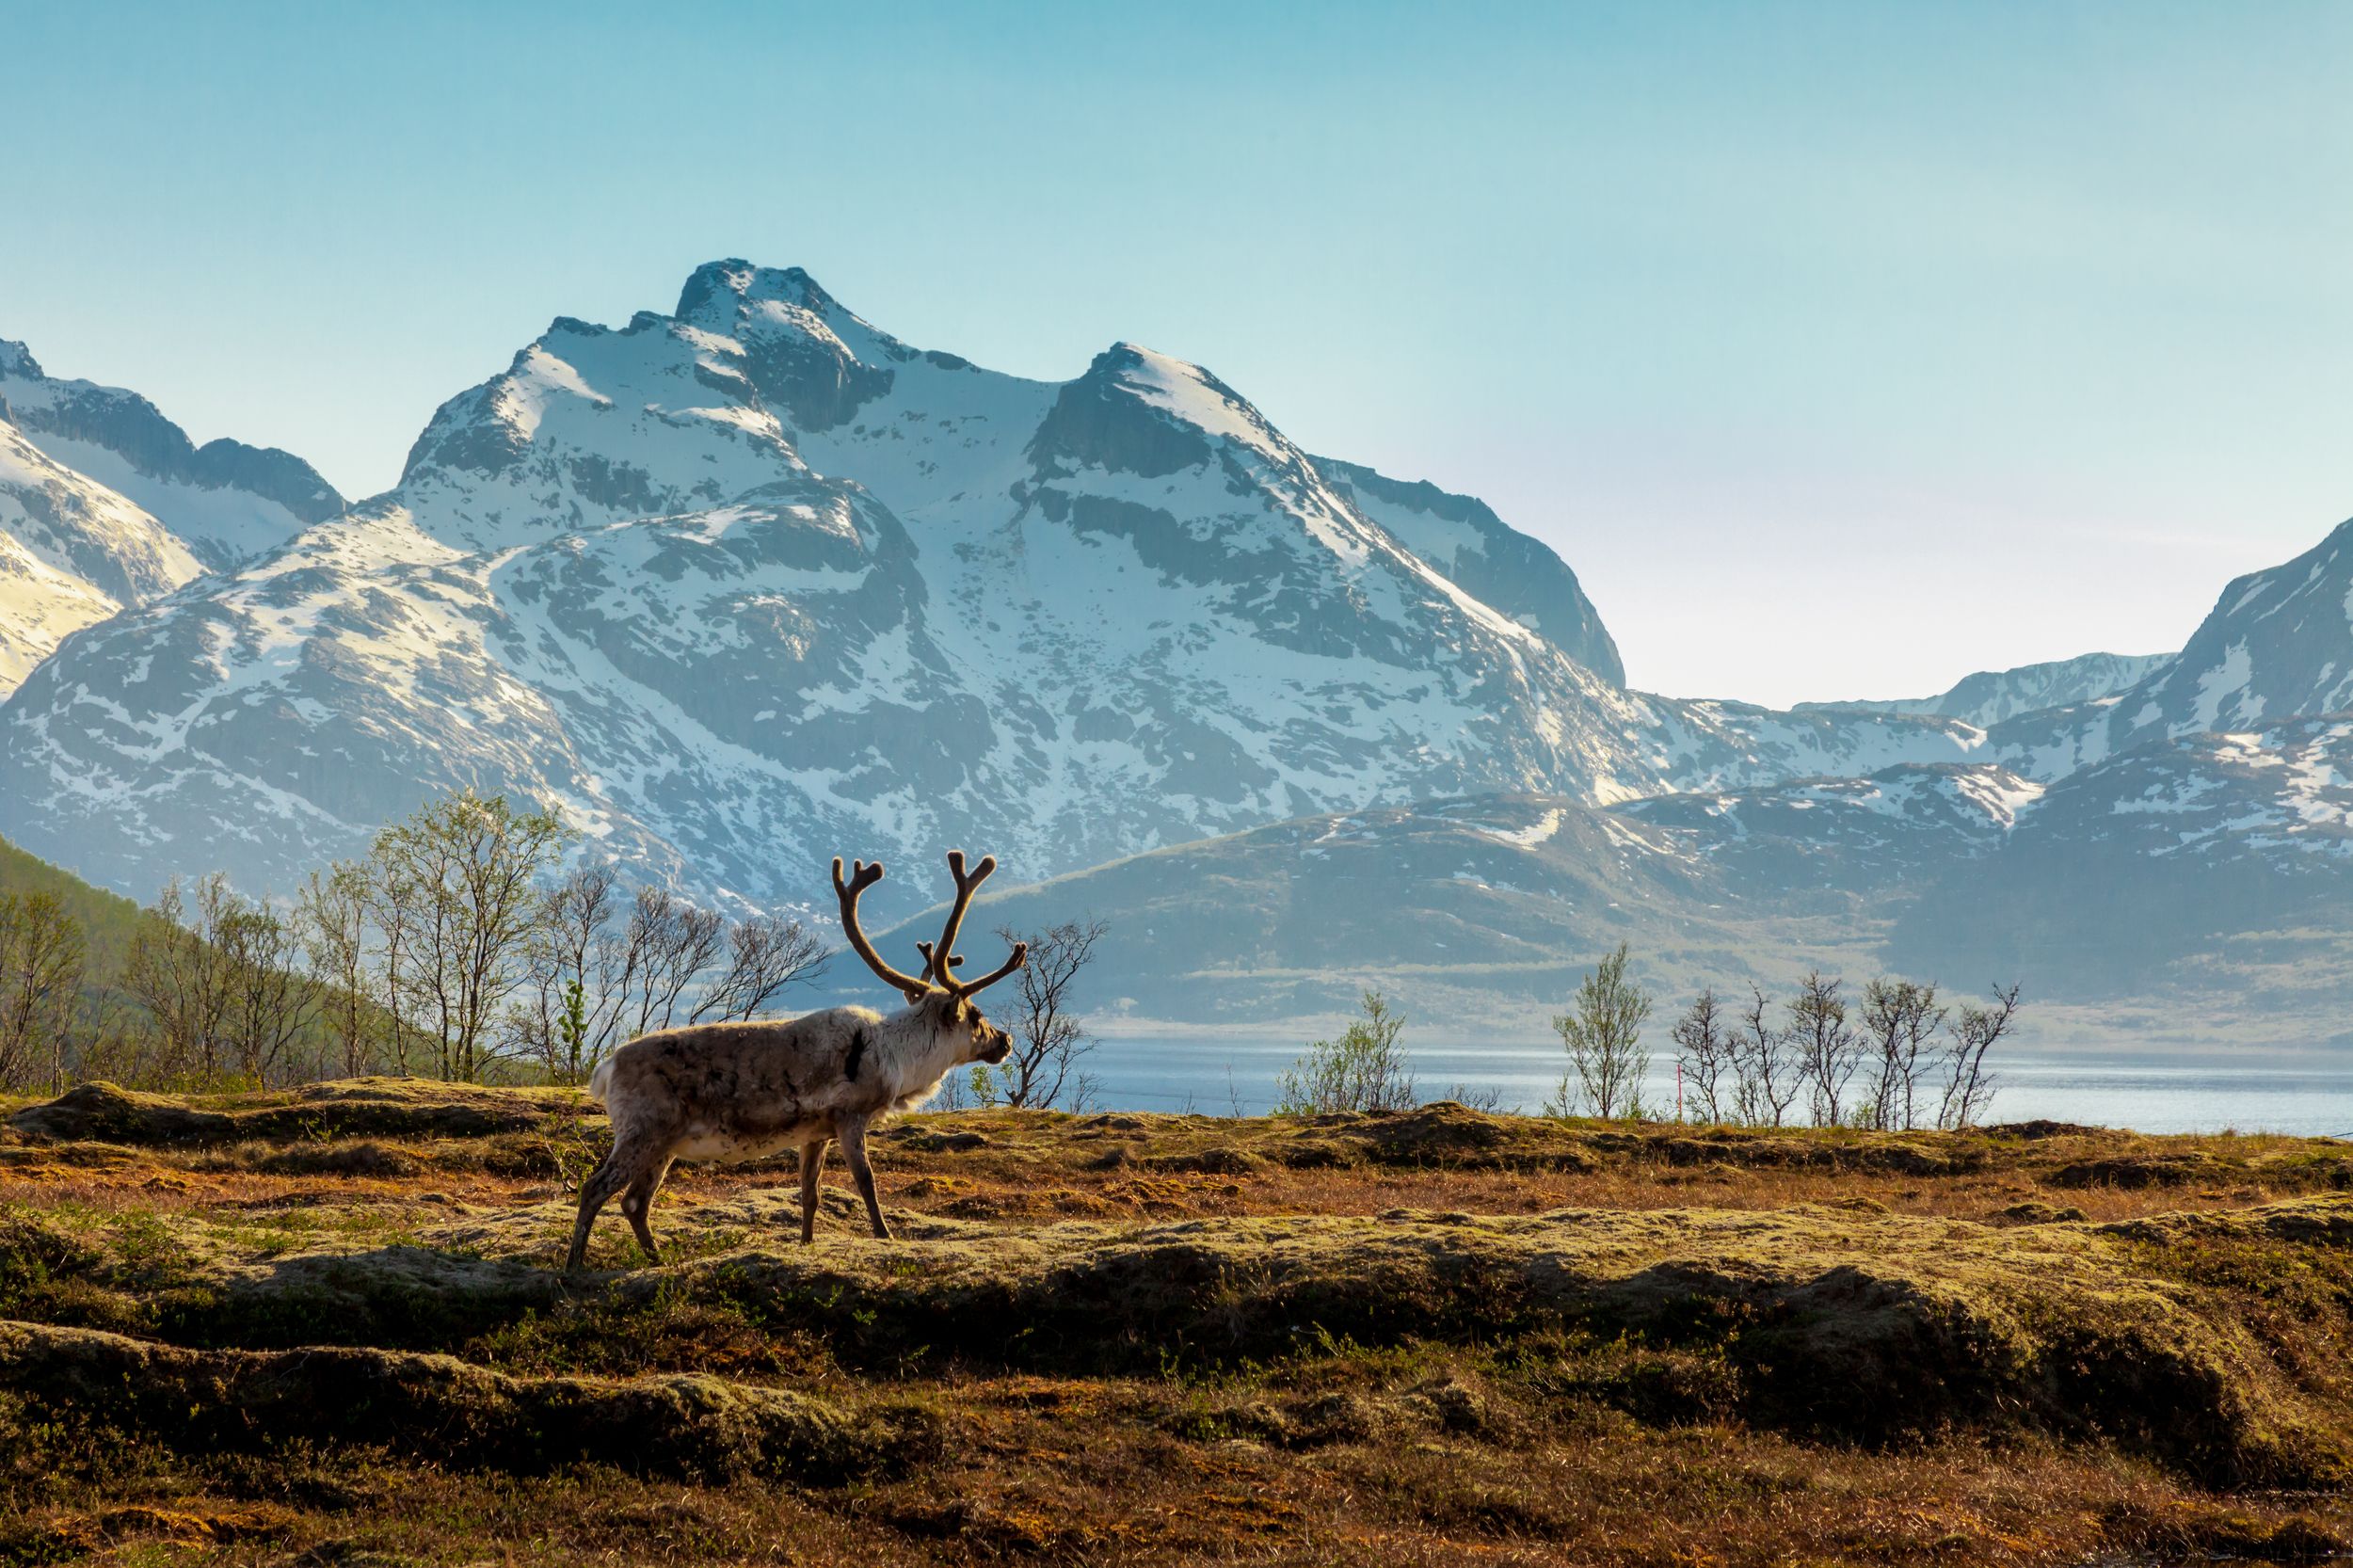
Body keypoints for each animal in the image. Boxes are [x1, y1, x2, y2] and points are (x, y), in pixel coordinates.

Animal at [565, 850, 1027, 1272]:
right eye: (976, 1015)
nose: (1005, 1041)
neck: (896, 1056)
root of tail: (605, 1068)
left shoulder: (816, 1132)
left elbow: (810, 1194)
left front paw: (806, 1244)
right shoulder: (849, 1115)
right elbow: (867, 1183)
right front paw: (886, 1236)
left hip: (664, 1144)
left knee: (634, 1202)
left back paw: (658, 1260)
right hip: (643, 1130)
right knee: (595, 1188)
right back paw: (574, 1267)